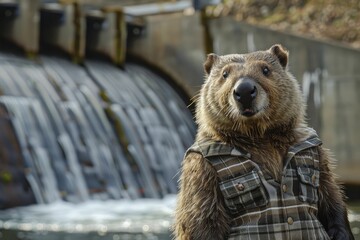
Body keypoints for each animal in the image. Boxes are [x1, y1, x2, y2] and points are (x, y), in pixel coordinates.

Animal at [174, 44, 354, 240]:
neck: (258, 134)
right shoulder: (203, 170)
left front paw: (341, 232)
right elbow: (203, 218)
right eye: (225, 74)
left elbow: (329, 195)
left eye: (265, 69)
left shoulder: (314, 151)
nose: (245, 90)